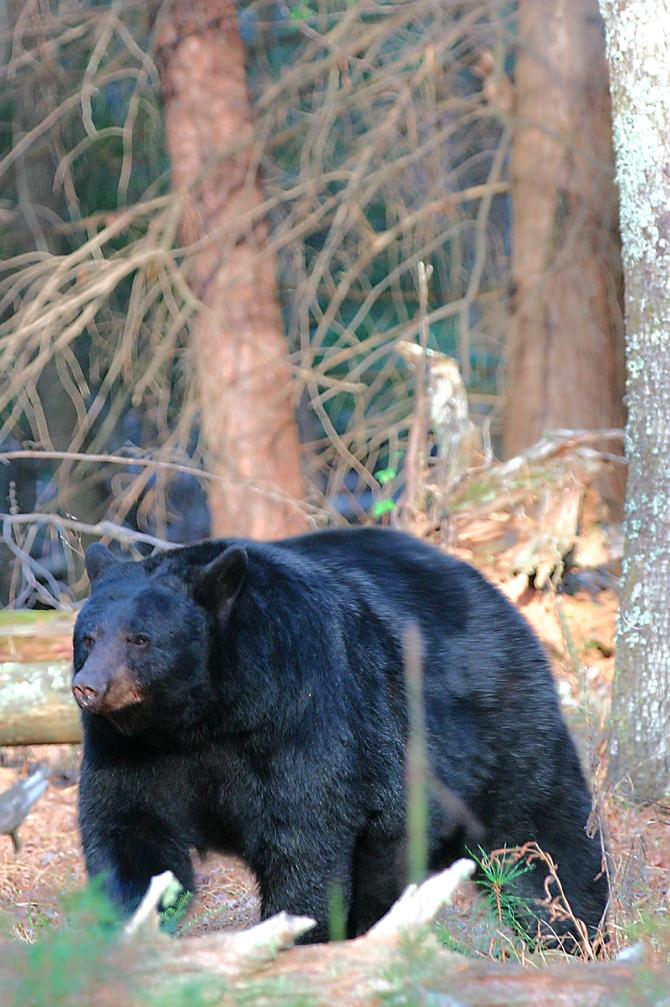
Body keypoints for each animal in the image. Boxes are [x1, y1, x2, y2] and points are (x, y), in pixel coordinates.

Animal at [73, 527, 604, 942]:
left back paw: (568, 929)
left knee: (539, 834)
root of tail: (494, 594)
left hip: (497, 734)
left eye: (140, 638)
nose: (88, 687)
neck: (204, 716)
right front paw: (129, 925)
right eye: (88, 637)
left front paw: (293, 937)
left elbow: (306, 837)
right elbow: (131, 834)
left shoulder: (302, 718)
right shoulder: (133, 749)